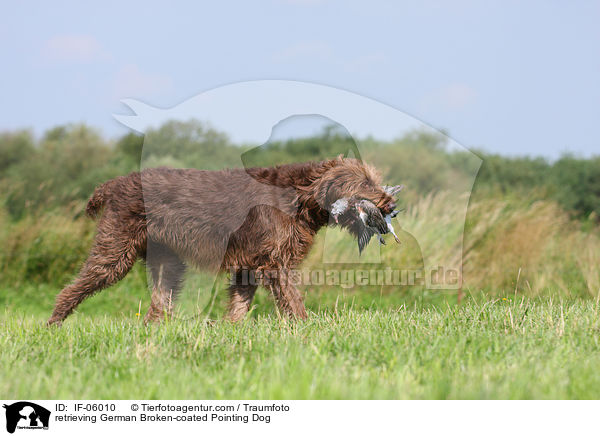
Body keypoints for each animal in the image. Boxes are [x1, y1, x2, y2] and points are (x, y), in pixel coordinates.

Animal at [47, 156, 400, 324]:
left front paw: (228, 328)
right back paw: (54, 324)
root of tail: (114, 183)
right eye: (365, 184)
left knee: (159, 303)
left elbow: (239, 306)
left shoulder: (250, 266)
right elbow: (293, 301)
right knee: (73, 288)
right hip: (115, 252)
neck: (301, 196)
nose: (391, 205)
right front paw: (307, 329)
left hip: (167, 263)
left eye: (374, 181)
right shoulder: (276, 264)